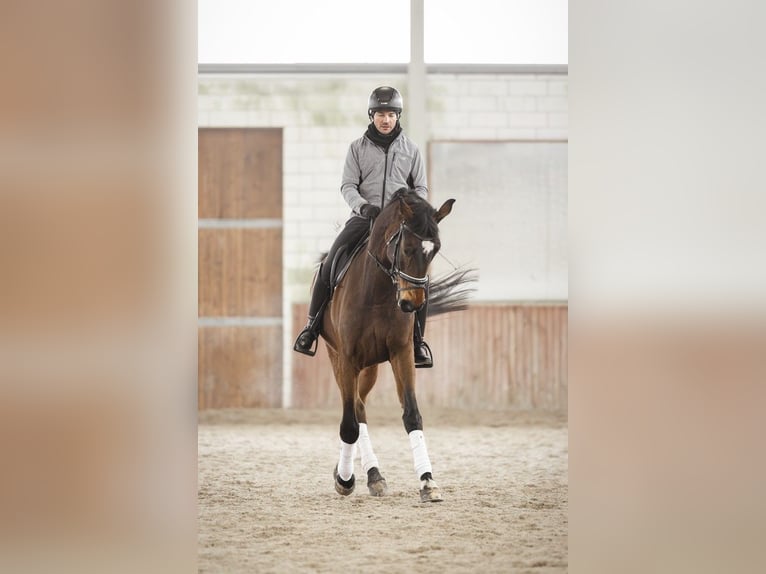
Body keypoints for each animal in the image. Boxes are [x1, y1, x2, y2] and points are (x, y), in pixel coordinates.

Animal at [316, 187, 473, 502]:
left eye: (434, 250)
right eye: (407, 249)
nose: (413, 303)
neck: (376, 291)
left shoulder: (402, 353)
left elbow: (412, 414)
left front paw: (427, 482)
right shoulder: (347, 358)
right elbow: (348, 425)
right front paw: (345, 480)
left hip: (370, 368)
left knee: (359, 406)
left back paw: (373, 475)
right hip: (338, 358)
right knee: (354, 411)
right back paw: (354, 473)